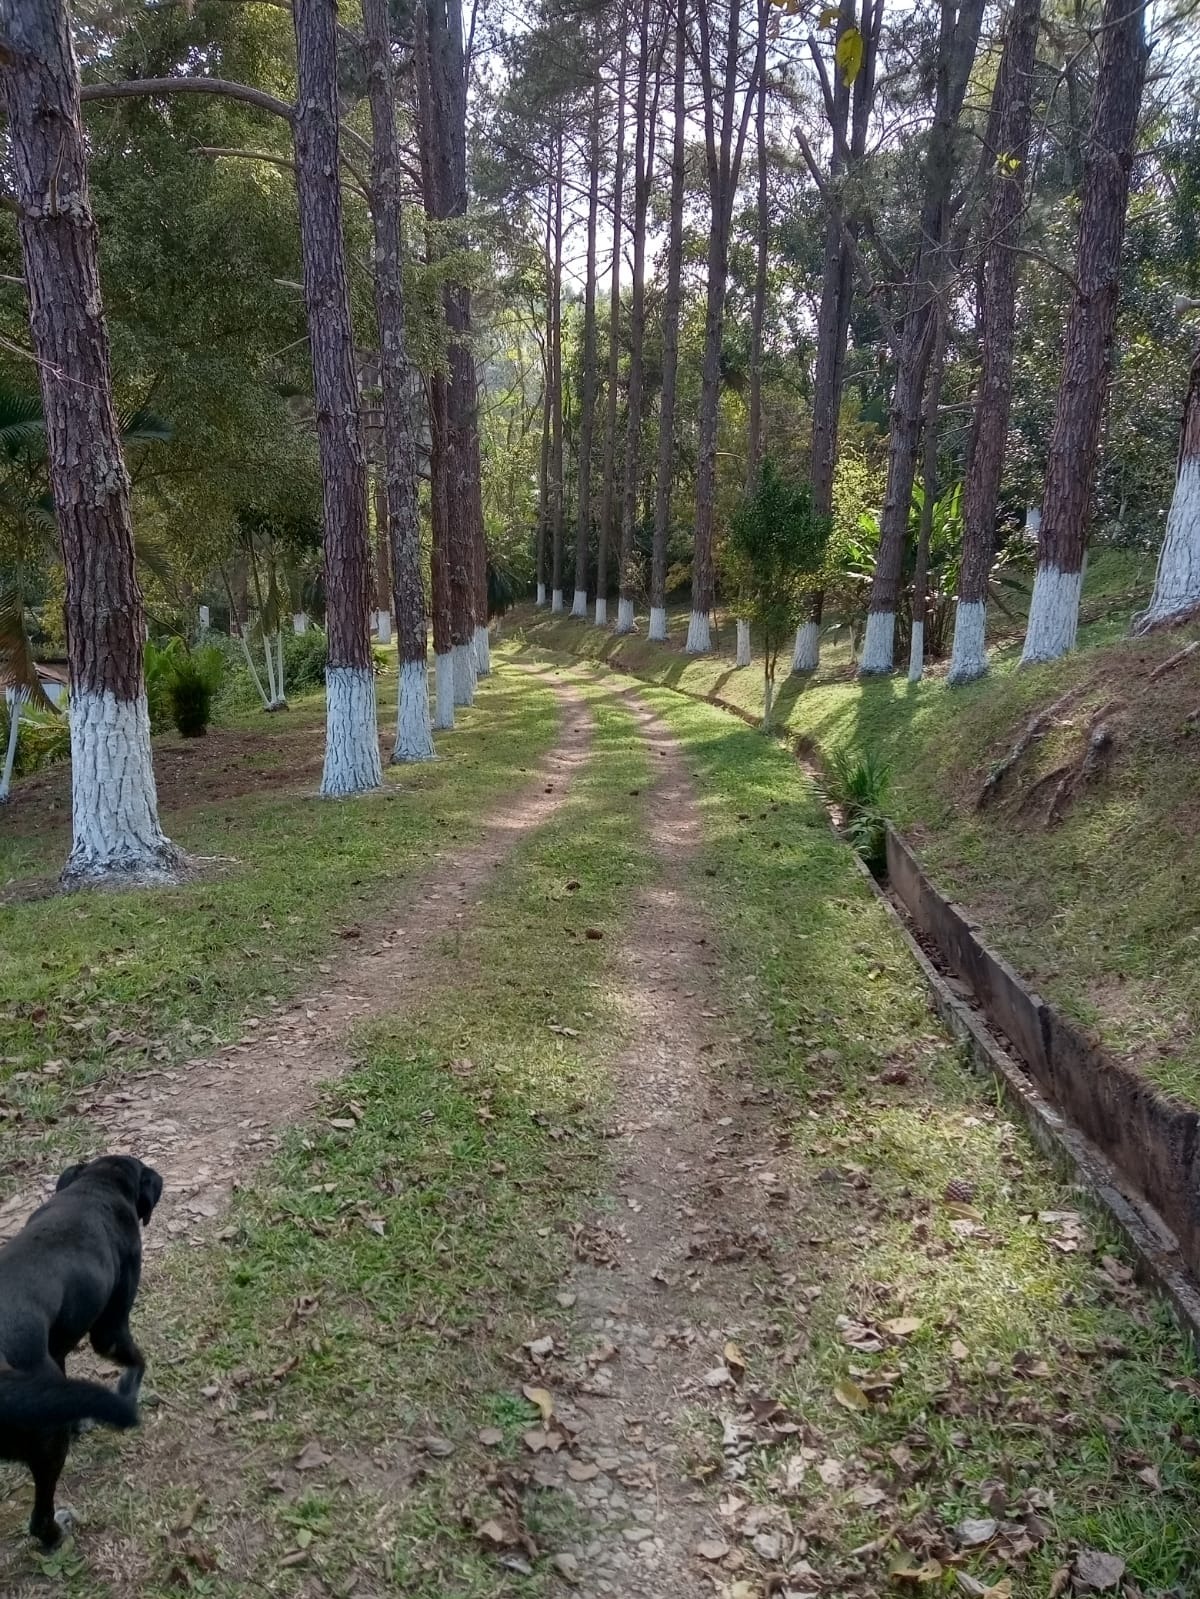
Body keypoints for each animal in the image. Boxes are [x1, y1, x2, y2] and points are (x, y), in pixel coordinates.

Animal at [0, 1157, 162, 1541]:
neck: (96, 1188)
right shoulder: (110, 1330)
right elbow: (137, 1361)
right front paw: (127, 1391)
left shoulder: (57, 1348)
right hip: (47, 1440)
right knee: (39, 1515)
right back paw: (54, 1536)